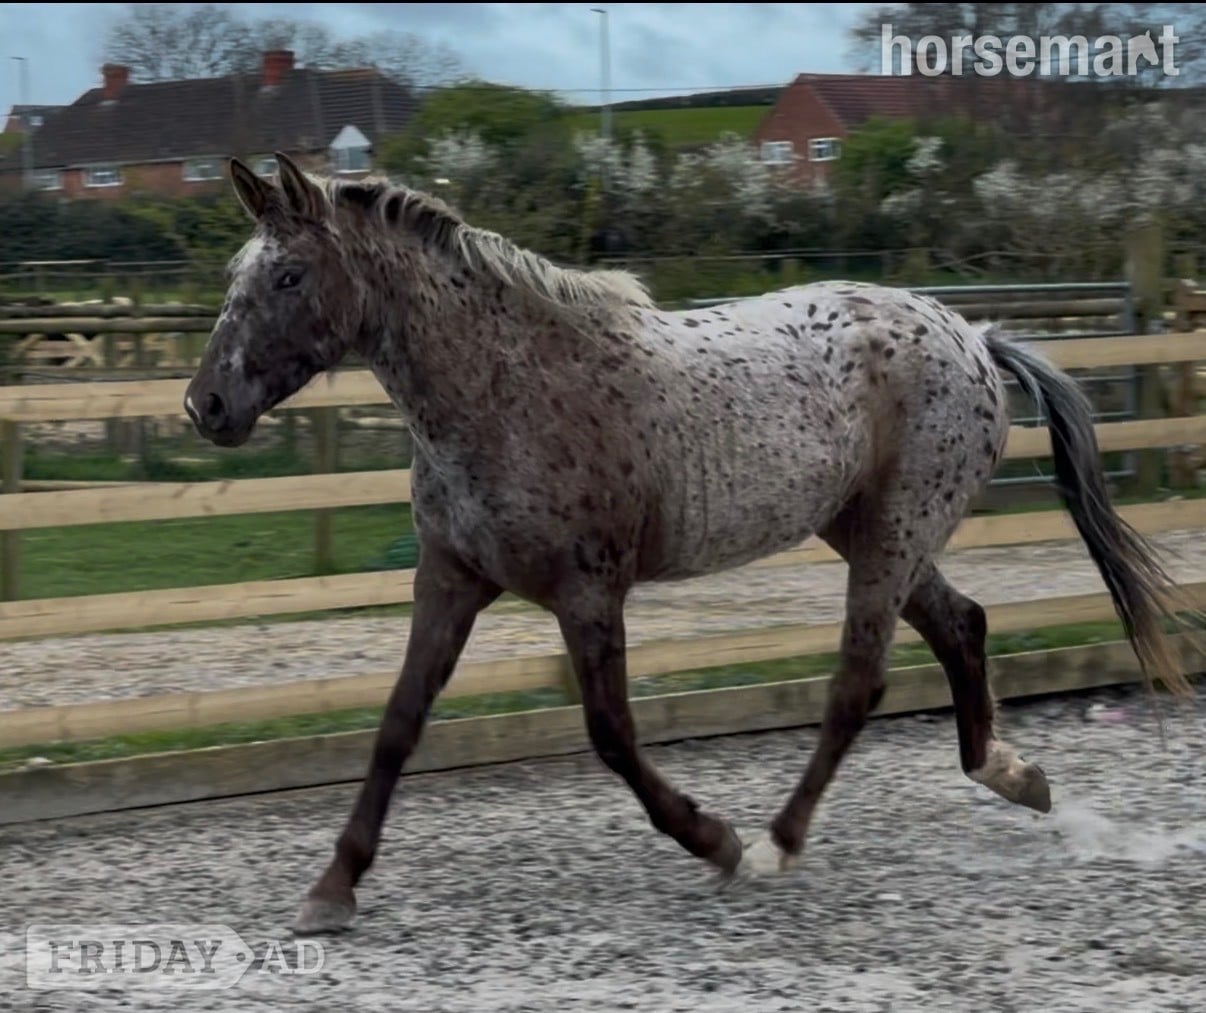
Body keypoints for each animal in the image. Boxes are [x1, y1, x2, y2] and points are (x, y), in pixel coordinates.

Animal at [183, 151, 1196, 936]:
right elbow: (397, 724)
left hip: (893, 533)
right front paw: (331, 889)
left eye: (286, 277)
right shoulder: (452, 576)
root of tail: (976, 337)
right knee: (965, 625)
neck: (504, 390)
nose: (206, 405)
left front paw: (717, 840)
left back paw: (780, 842)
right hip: (871, 531)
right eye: (236, 274)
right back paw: (1014, 775)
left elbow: (613, 734)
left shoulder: (590, 590)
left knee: (858, 681)